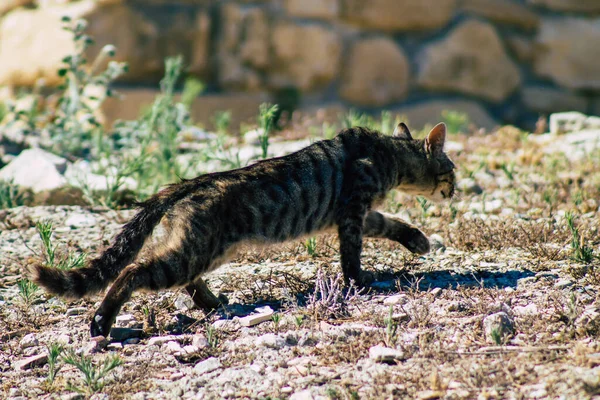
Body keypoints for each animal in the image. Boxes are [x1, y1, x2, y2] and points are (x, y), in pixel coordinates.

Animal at [27, 122, 454, 338]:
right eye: (451, 170)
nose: (456, 189)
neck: (387, 154)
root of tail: (185, 184)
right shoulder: (352, 212)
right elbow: (352, 255)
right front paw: (359, 281)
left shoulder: (357, 213)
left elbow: (389, 223)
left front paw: (417, 240)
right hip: (194, 252)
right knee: (135, 270)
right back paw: (103, 320)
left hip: (202, 248)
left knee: (180, 278)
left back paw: (212, 303)